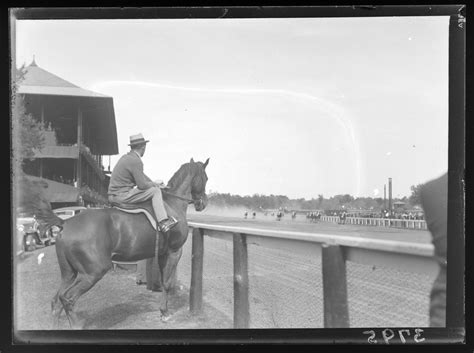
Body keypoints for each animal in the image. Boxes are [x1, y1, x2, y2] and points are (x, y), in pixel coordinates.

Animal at [47, 157, 208, 328]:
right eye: (205, 178)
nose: (203, 203)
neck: (171, 204)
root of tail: (65, 223)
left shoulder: (163, 254)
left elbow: (164, 281)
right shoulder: (174, 252)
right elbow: (167, 283)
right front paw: (164, 312)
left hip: (69, 273)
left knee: (56, 301)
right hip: (92, 273)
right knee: (67, 298)